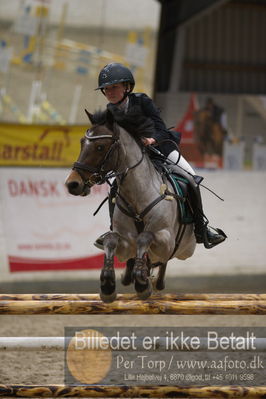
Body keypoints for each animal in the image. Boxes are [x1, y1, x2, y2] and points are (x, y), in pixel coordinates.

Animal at [65, 111, 196, 304]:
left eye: (100, 147)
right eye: (82, 143)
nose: (72, 184)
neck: (137, 194)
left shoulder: (166, 240)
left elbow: (145, 237)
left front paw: (142, 283)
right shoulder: (126, 244)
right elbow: (112, 239)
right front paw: (108, 284)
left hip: (185, 249)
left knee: (160, 262)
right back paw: (131, 276)